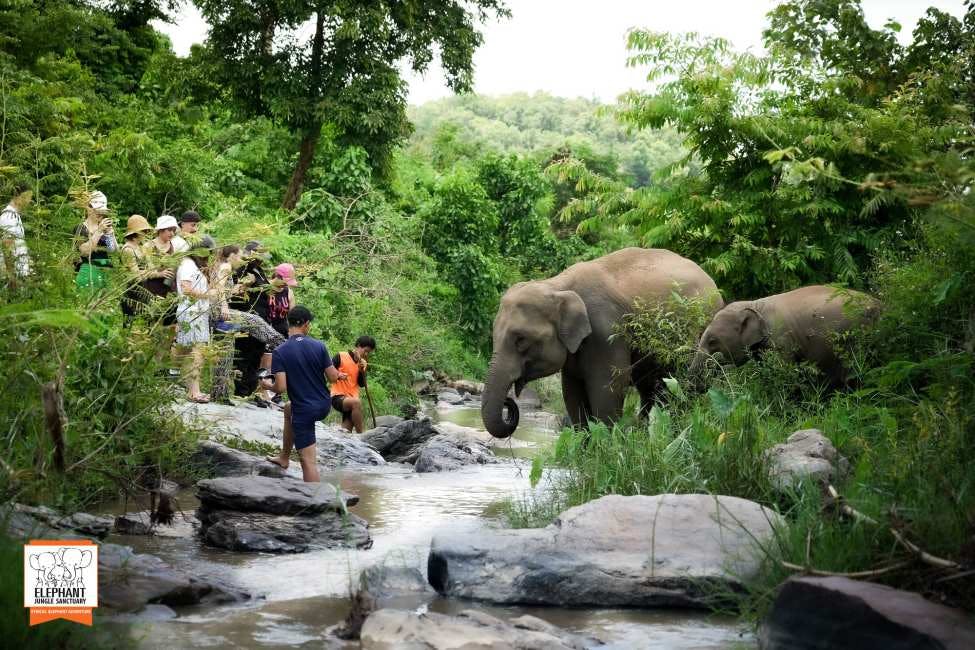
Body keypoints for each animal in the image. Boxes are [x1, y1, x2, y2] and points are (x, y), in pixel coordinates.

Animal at [482, 247, 722, 438]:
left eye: (520, 340)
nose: (509, 404)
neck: (557, 284)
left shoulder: (606, 332)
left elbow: (608, 386)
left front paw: (604, 446)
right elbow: (572, 390)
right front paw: (584, 447)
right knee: (651, 387)